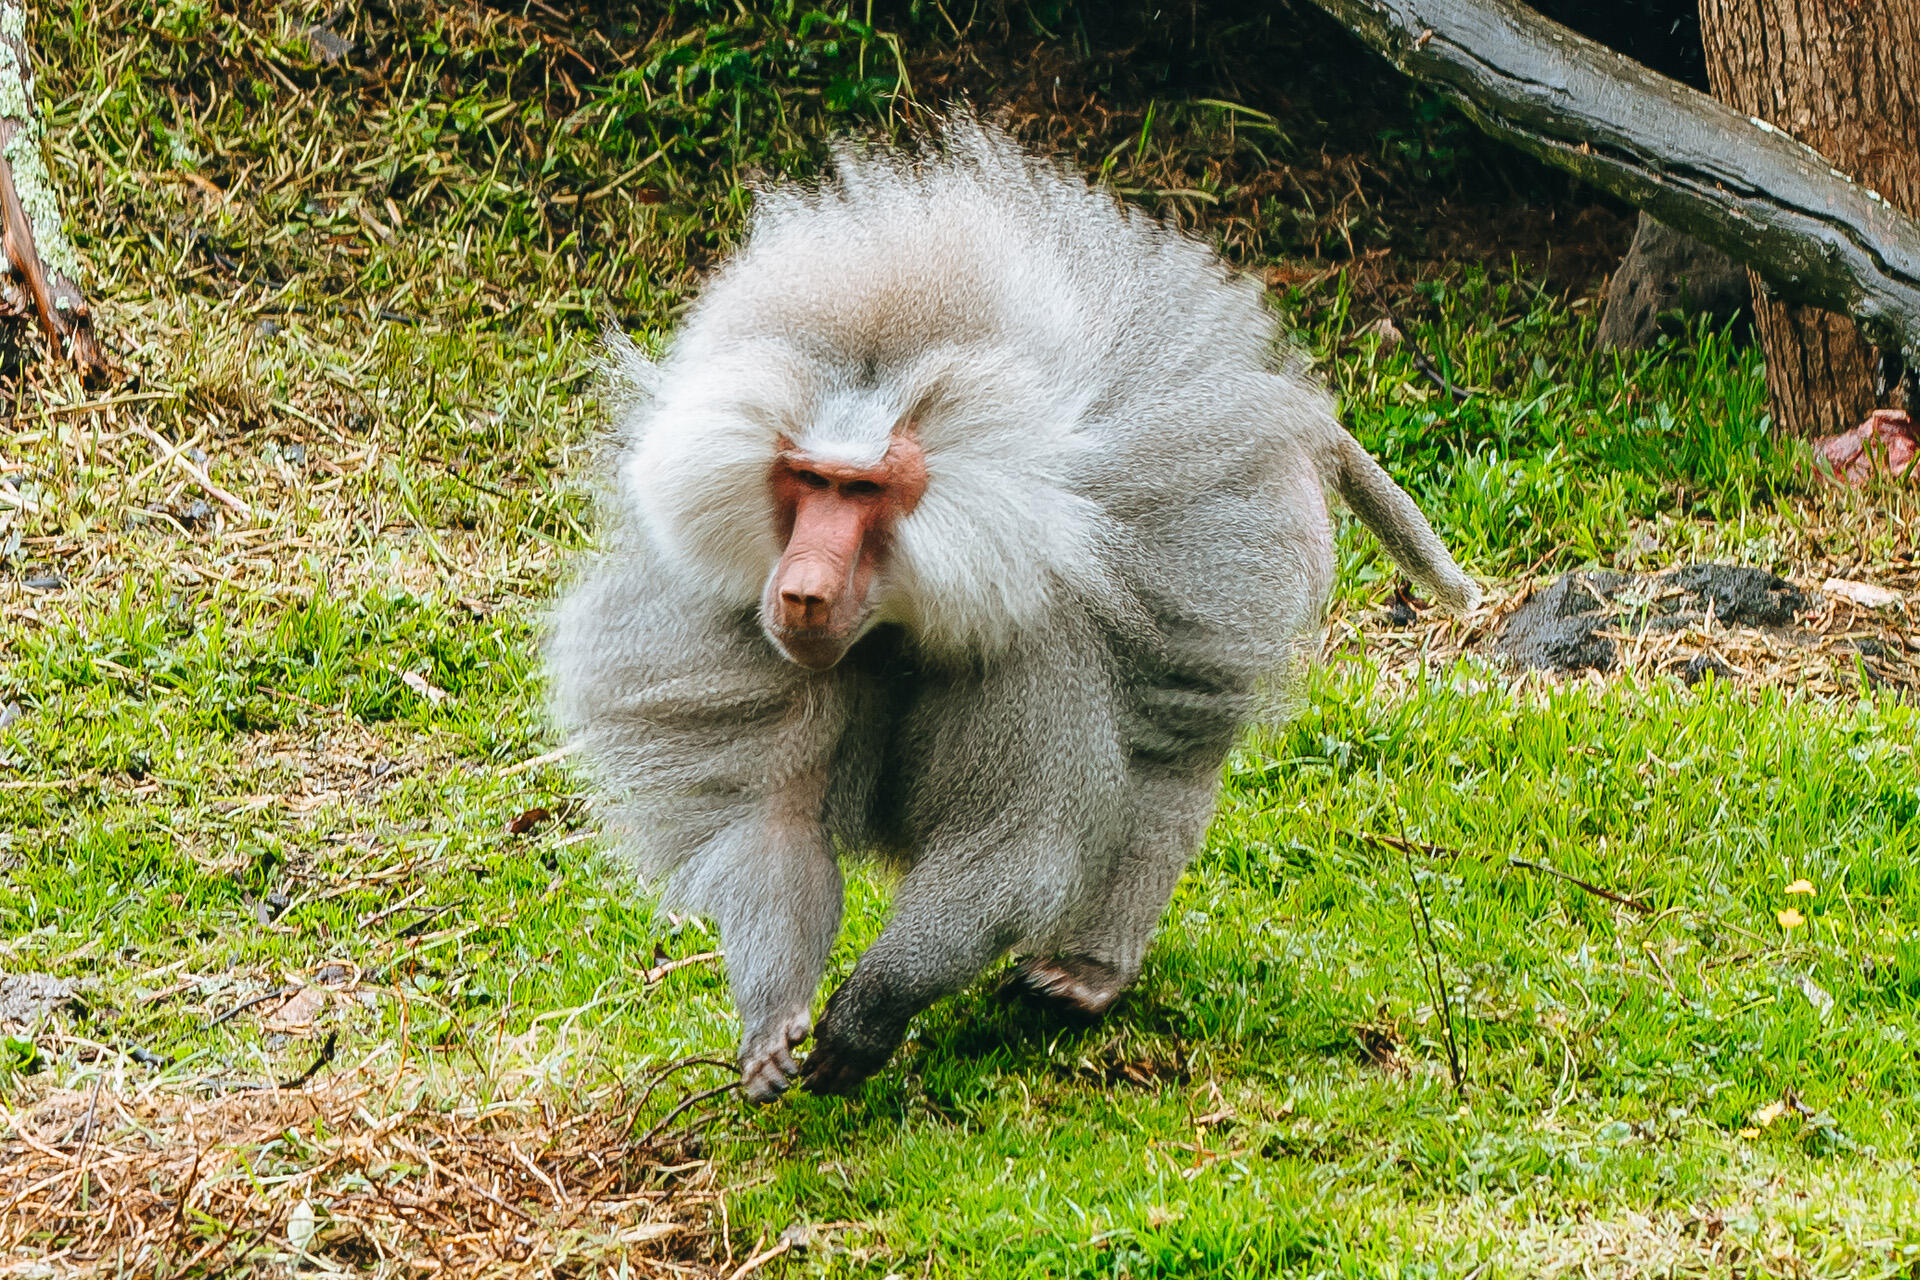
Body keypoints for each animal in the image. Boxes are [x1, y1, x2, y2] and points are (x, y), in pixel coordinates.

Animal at [546, 117, 1479, 1103]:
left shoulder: (1033, 653)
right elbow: (775, 821)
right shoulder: (764, 644)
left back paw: (1088, 975)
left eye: (863, 489)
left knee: (1170, 766)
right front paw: (772, 1026)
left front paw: (869, 1012)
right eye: (806, 479)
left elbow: (1015, 856)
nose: (799, 592)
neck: (901, 613)